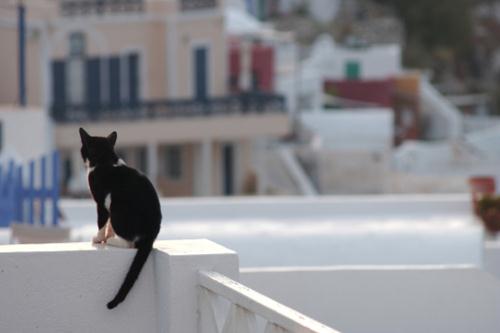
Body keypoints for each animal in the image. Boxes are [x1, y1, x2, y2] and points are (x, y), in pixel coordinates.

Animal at [78, 127, 161, 308]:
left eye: (83, 148)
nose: (82, 154)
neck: (106, 160)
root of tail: (151, 234)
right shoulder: (106, 204)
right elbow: (108, 224)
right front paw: (107, 235)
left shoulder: (101, 203)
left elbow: (102, 222)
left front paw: (99, 238)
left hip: (118, 209)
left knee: (131, 243)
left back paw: (112, 241)